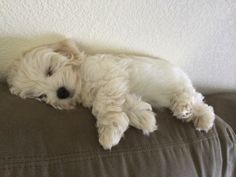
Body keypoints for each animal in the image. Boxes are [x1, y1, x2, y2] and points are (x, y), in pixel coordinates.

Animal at [7, 39, 215, 149]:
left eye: (50, 71)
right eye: (41, 97)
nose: (61, 92)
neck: (82, 81)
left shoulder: (111, 78)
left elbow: (105, 104)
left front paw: (110, 133)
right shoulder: (120, 88)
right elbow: (128, 103)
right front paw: (144, 118)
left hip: (181, 85)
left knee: (195, 99)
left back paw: (186, 108)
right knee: (201, 105)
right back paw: (200, 119)